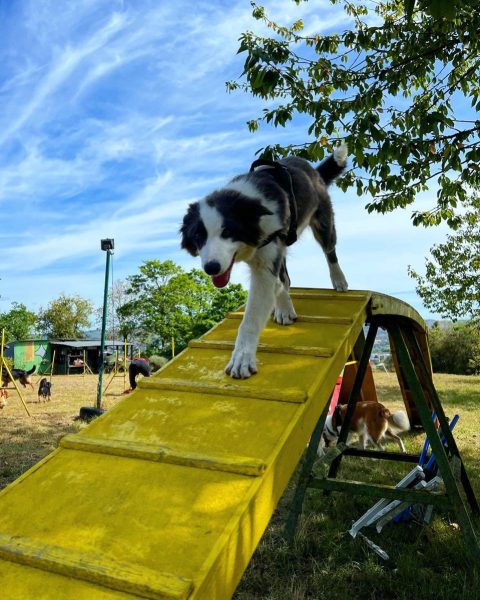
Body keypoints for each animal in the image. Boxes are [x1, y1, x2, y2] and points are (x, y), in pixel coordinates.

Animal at [180, 144, 348, 380]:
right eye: (198, 236)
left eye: (227, 232)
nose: (211, 268)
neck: (248, 206)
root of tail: (311, 169)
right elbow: (278, 282)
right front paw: (282, 307)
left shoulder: (266, 261)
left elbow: (250, 319)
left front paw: (242, 359)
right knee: (285, 277)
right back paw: (284, 308)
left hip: (323, 222)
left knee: (330, 251)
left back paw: (339, 279)